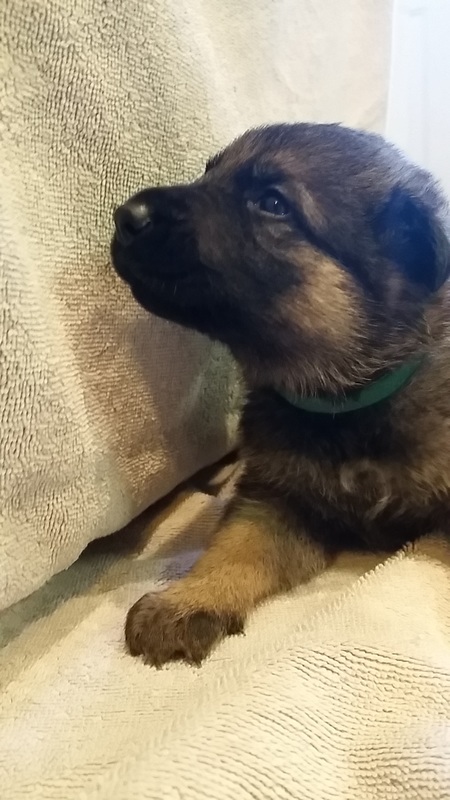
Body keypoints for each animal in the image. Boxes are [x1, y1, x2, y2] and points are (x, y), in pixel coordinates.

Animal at [111, 123, 450, 667]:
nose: (127, 215)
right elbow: (234, 546)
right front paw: (188, 601)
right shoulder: (276, 497)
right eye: (209, 173)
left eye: (273, 203)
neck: (347, 399)